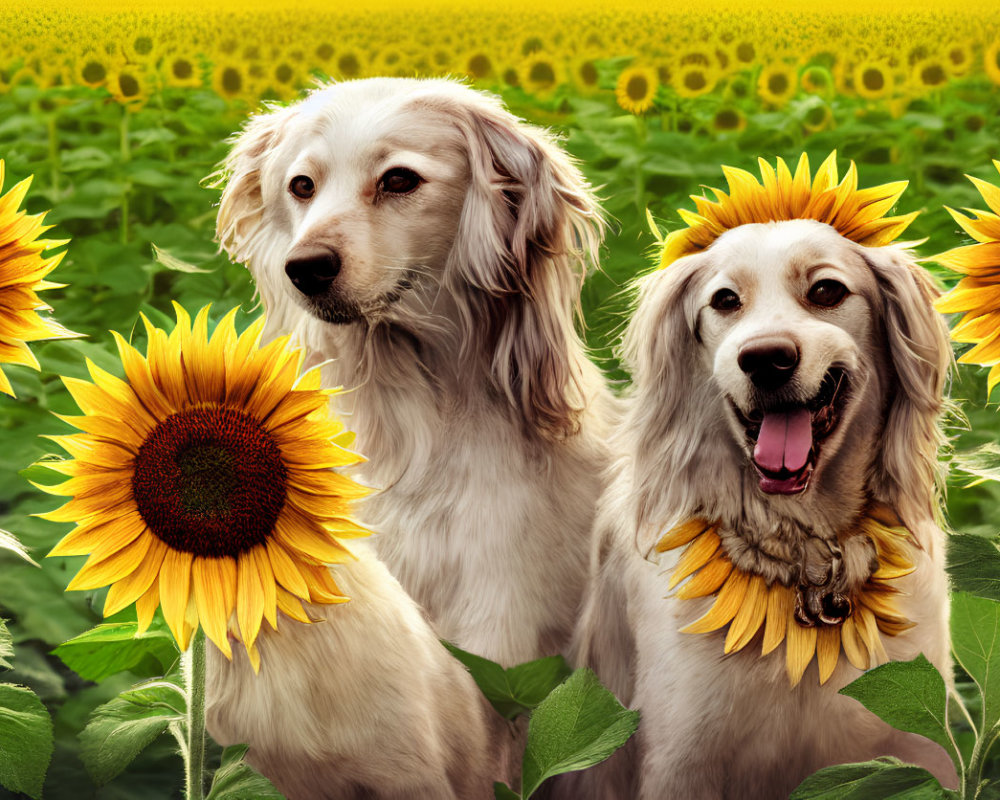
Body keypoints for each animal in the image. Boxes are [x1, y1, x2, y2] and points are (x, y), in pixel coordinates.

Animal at [568, 155, 956, 800]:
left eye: (826, 291)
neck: (807, 566)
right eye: (725, 300)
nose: (766, 358)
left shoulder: (918, 745)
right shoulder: (681, 759)